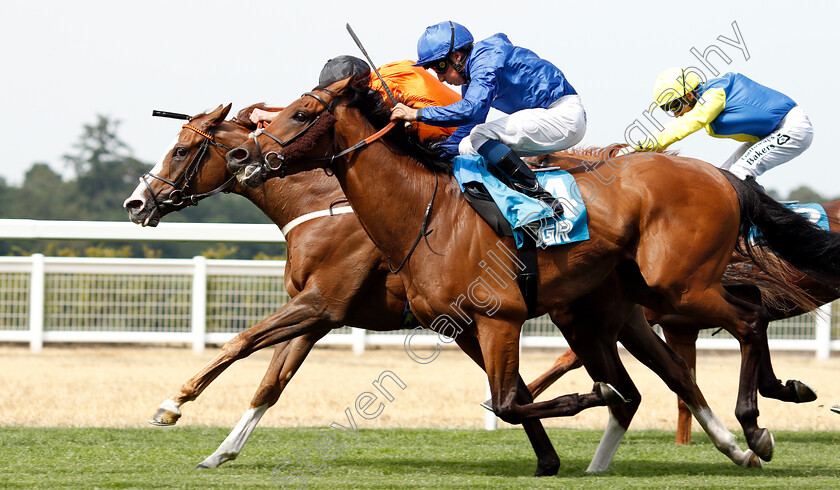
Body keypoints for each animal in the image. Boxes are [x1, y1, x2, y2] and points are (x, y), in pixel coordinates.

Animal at [221, 78, 840, 472]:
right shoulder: (459, 326)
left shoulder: (500, 316)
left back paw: (755, 421)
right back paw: (738, 437)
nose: (243, 158)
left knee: (749, 317)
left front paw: (584, 402)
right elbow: (514, 397)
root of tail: (719, 176)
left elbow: (511, 401)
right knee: (686, 365)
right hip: (626, 304)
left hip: (679, 285)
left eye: (302, 114)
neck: (426, 213)